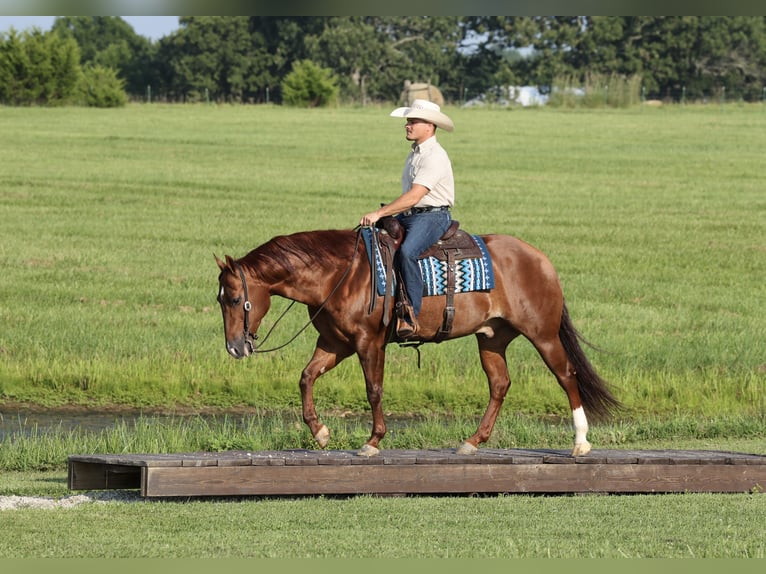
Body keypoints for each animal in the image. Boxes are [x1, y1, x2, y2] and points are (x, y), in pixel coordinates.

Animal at [215, 227, 620, 457]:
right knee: (500, 384)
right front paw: (321, 433)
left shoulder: (368, 342)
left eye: (234, 299)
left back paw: (580, 442)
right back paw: (472, 441)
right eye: (220, 300)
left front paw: (372, 441)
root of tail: (540, 258)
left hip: (543, 334)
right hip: (492, 338)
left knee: (566, 375)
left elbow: (374, 389)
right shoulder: (335, 343)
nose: (235, 347)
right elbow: (306, 377)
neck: (341, 274)